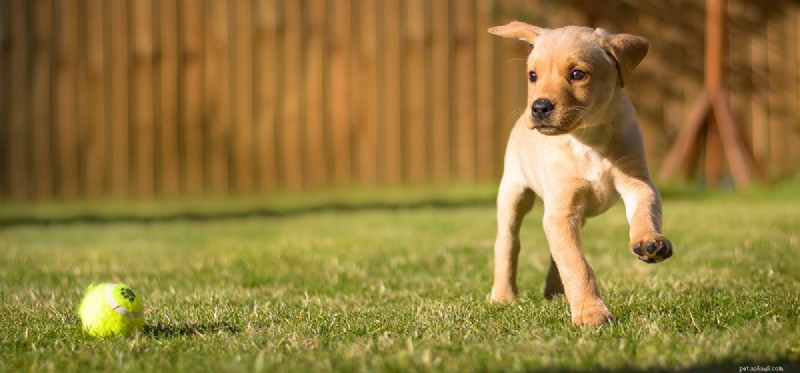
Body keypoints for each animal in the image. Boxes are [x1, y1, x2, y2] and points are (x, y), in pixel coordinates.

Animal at [488, 22, 676, 326]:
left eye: (577, 74)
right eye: (532, 75)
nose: (539, 107)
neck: (589, 140)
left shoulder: (637, 183)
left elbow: (644, 212)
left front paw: (649, 241)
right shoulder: (561, 209)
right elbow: (576, 264)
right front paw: (591, 312)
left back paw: (555, 292)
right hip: (513, 192)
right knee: (508, 242)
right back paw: (503, 295)